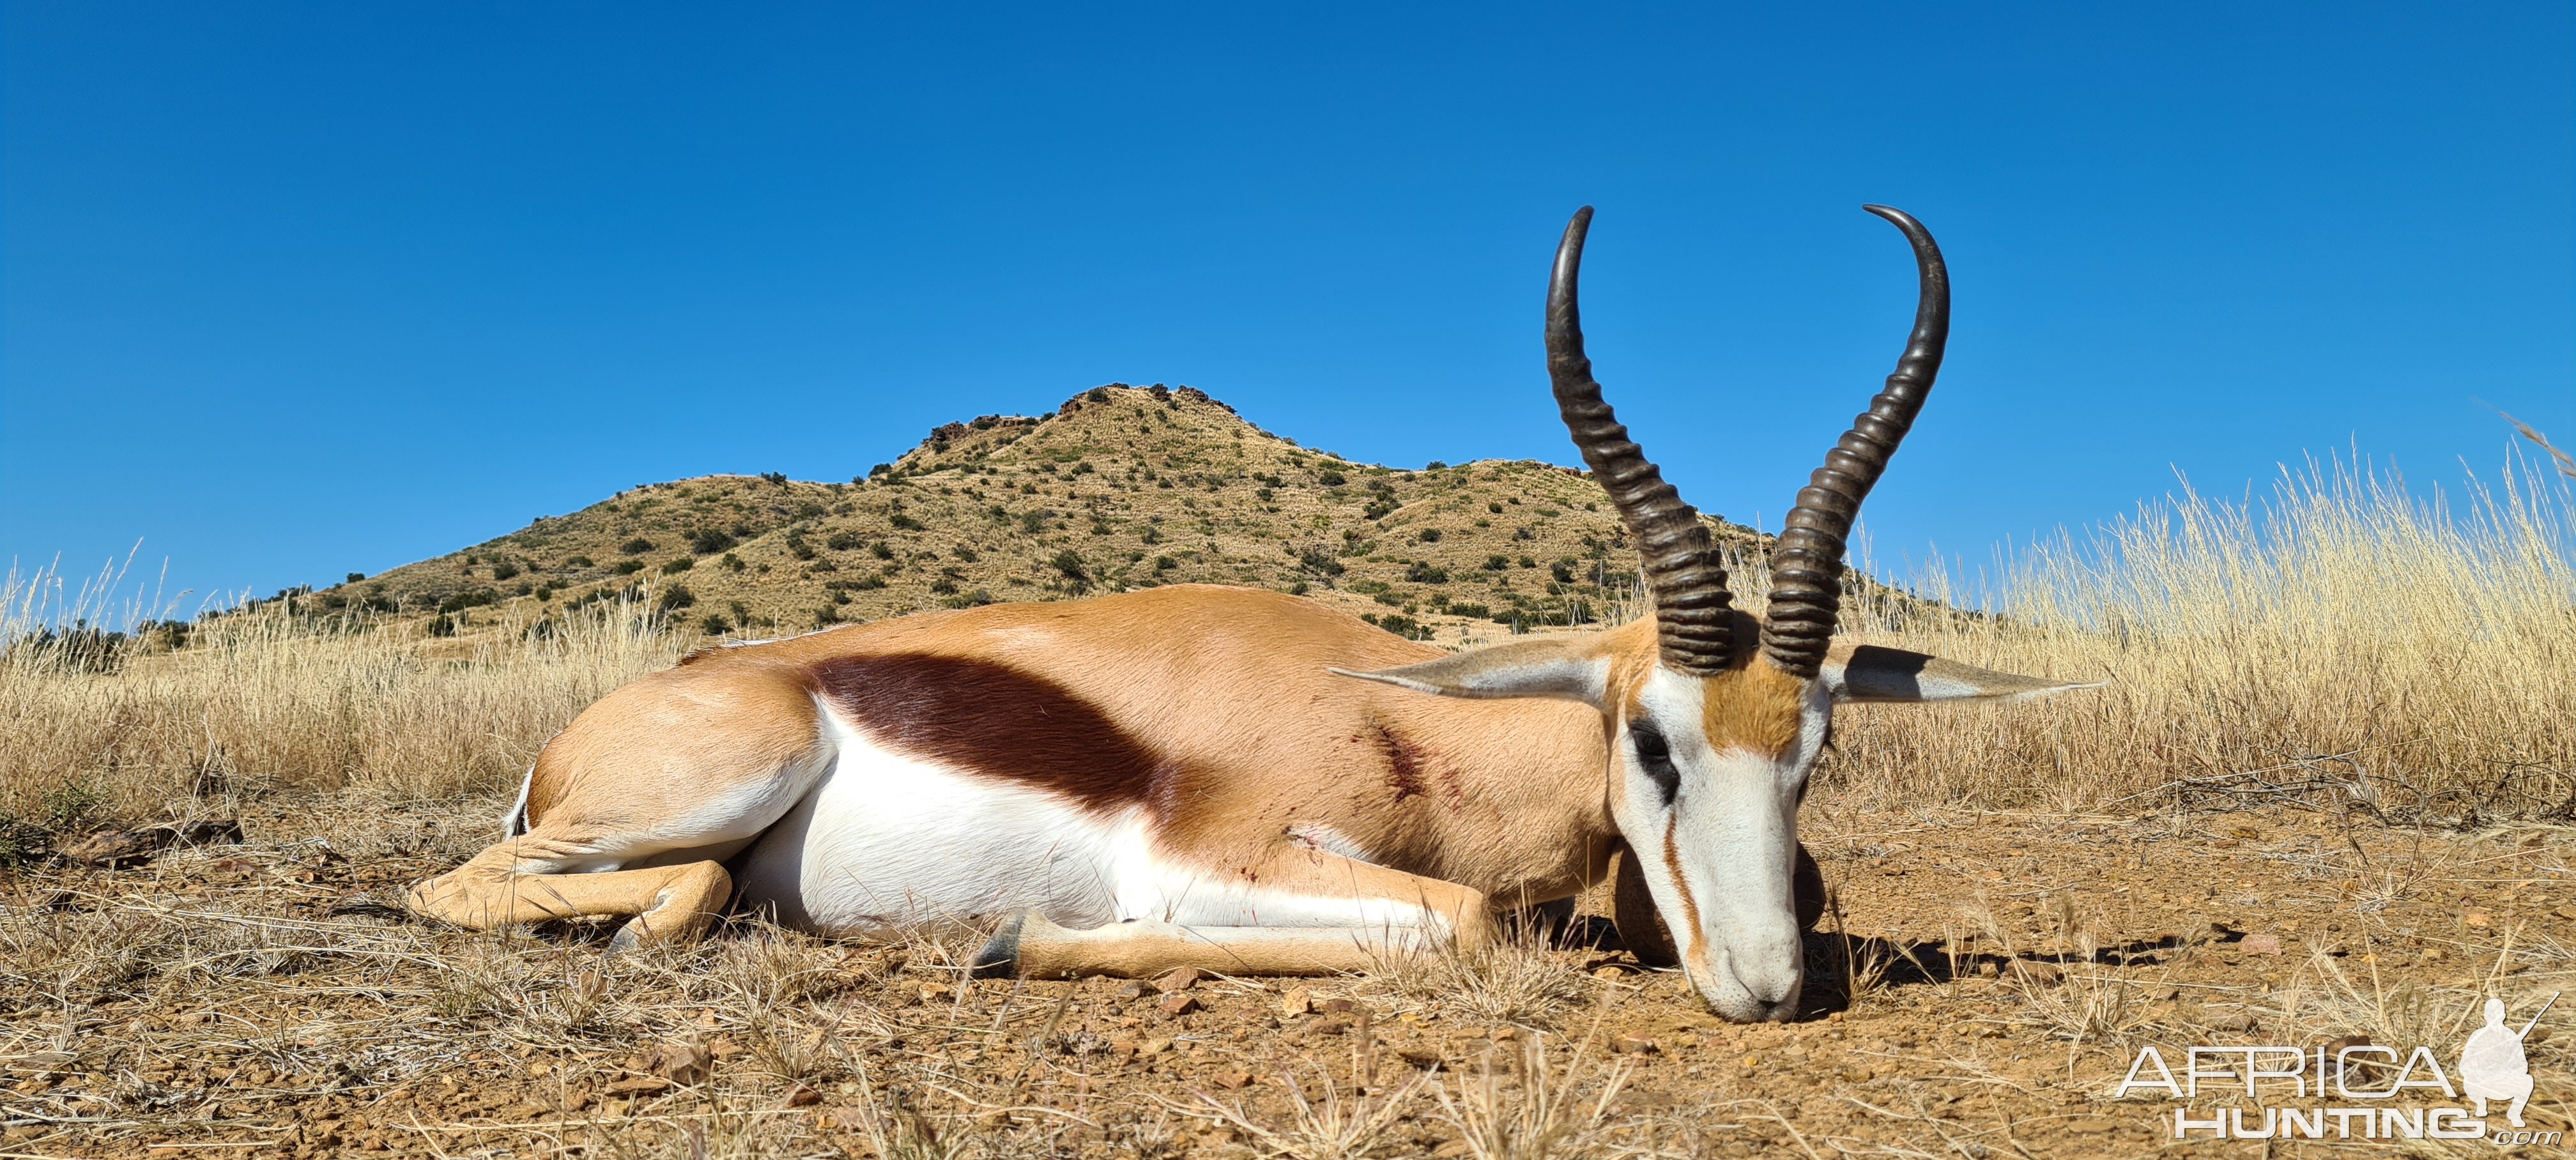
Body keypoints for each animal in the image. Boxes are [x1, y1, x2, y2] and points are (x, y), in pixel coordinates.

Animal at [407, 206, 2091, 1016]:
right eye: (1655, 743)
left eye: (1816, 753)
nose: (1762, 987)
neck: (1402, 718)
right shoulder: (1215, 857)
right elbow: (1460, 921)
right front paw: (1018, 941)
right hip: (713, 783)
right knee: (476, 888)